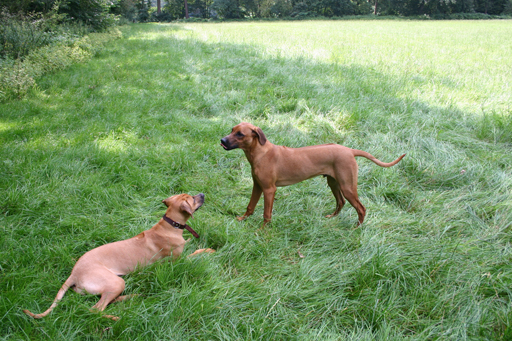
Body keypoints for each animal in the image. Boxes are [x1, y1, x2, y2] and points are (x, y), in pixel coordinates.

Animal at [23, 193, 214, 320]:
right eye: (192, 199)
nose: (202, 194)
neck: (170, 226)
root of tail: (74, 273)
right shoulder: (177, 262)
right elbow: (195, 253)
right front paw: (209, 250)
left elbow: (189, 244)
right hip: (115, 282)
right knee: (96, 309)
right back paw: (116, 317)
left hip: (110, 285)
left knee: (108, 300)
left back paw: (132, 297)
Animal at [222, 122, 406, 226]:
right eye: (231, 130)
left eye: (240, 134)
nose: (222, 140)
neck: (260, 152)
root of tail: (349, 150)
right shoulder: (257, 185)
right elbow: (250, 206)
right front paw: (242, 220)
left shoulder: (269, 190)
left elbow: (267, 214)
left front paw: (263, 231)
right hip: (333, 182)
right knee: (341, 202)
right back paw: (332, 217)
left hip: (347, 185)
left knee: (361, 208)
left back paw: (357, 227)